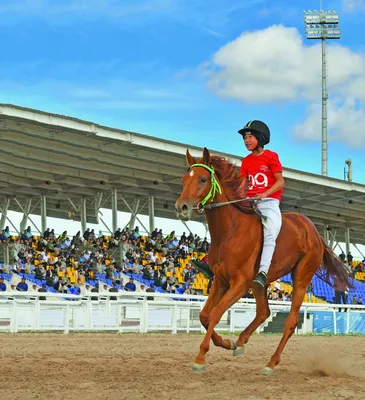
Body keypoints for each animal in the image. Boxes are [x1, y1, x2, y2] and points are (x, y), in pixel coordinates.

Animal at [175, 147, 352, 376]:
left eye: (203, 179)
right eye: (184, 179)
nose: (182, 207)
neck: (230, 231)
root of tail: (313, 231)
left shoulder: (239, 284)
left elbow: (214, 315)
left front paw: (200, 358)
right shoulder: (220, 281)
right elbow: (204, 316)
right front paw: (226, 342)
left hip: (301, 278)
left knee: (290, 322)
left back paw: (271, 363)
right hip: (260, 282)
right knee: (264, 311)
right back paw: (241, 342)